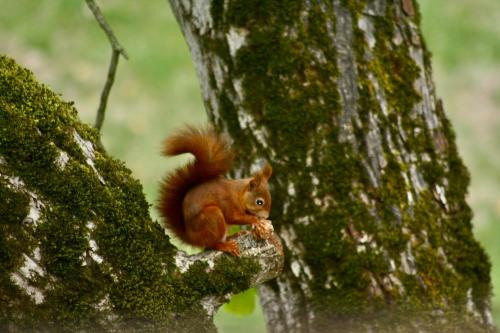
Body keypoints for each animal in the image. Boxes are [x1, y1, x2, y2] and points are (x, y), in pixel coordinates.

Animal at [157, 124, 272, 254]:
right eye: (259, 202)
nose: (266, 216)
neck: (238, 194)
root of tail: (193, 239)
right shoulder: (227, 203)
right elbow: (234, 217)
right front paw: (256, 220)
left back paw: (234, 235)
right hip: (212, 217)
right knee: (212, 244)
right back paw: (225, 246)